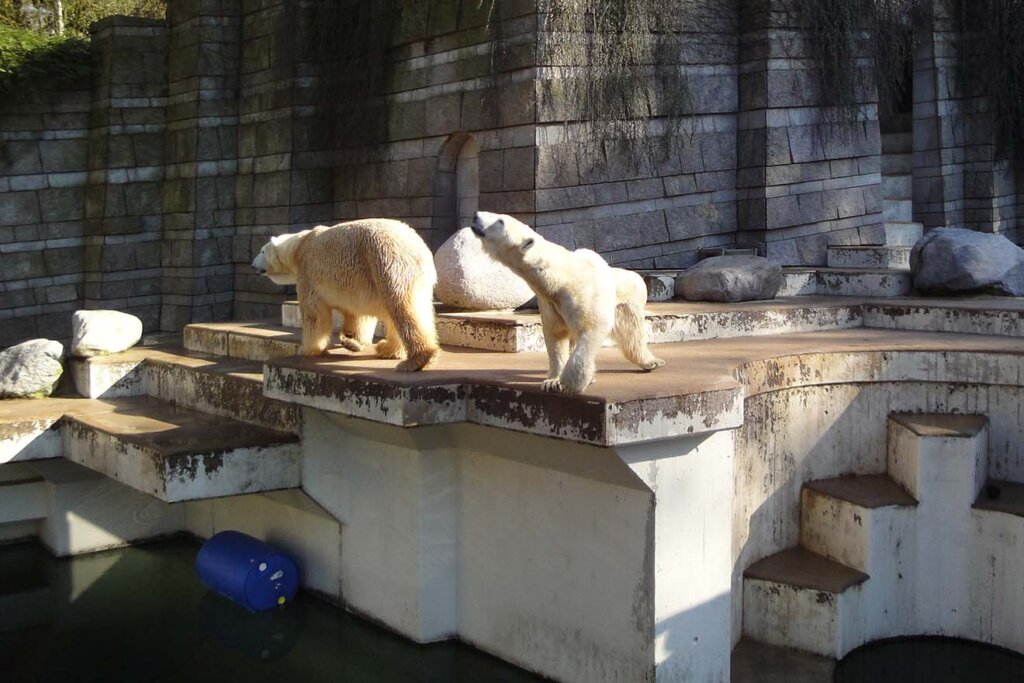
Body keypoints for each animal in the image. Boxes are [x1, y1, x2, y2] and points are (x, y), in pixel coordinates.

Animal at [251, 219, 440, 370]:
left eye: (261, 251)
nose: (252, 265)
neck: (299, 245)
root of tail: (419, 248)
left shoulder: (308, 272)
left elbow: (315, 315)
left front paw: (308, 349)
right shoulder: (357, 282)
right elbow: (357, 314)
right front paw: (351, 339)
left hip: (387, 261)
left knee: (401, 308)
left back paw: (418, 359)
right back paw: (388, 349)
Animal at [468, 211, 663, 395]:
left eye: (500, 221)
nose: (475, 215)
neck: (560, 278)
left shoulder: (584, 296)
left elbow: (591, 329)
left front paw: (569, 384)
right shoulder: (550, 302)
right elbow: (556, 336)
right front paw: (552, 382)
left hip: (627, 301)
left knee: (631, 332)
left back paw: (652, 362)